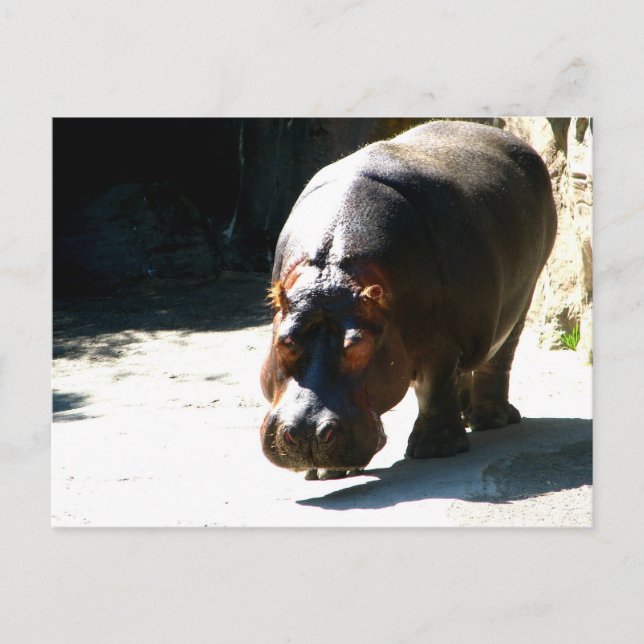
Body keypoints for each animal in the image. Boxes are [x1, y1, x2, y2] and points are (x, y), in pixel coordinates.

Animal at [260, 120, 557, 480]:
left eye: (358, 344)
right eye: (284, 341)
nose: (306, 434)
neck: (334, 273)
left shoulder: (441, 339)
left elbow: (434, 385)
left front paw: (436, 450)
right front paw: (327, 472)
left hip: (522, 297)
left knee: (499, 356)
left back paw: (490, 418)